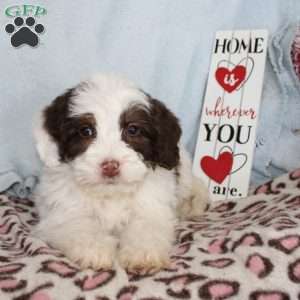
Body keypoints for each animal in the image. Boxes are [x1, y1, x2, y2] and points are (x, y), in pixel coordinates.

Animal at [31, 73, 207, 274]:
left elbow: (146, 226)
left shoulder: (151, 207)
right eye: (86, 131)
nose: (110, 166)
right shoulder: (65, 211)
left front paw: (142, 254)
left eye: (133, 130)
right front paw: (96, 250)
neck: (111, 194)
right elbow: (79, 225)